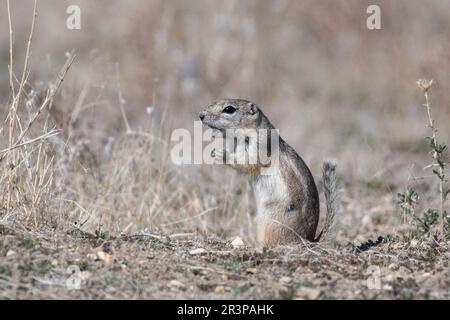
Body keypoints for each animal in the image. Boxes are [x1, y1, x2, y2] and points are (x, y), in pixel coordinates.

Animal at [199, 99, 340, 246]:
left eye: (229, 109)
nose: (200, 115)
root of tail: (309, 240)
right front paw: (217, 135)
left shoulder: (258, 146)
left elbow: (247, 163)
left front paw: (221, 154)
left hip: (269, 222)